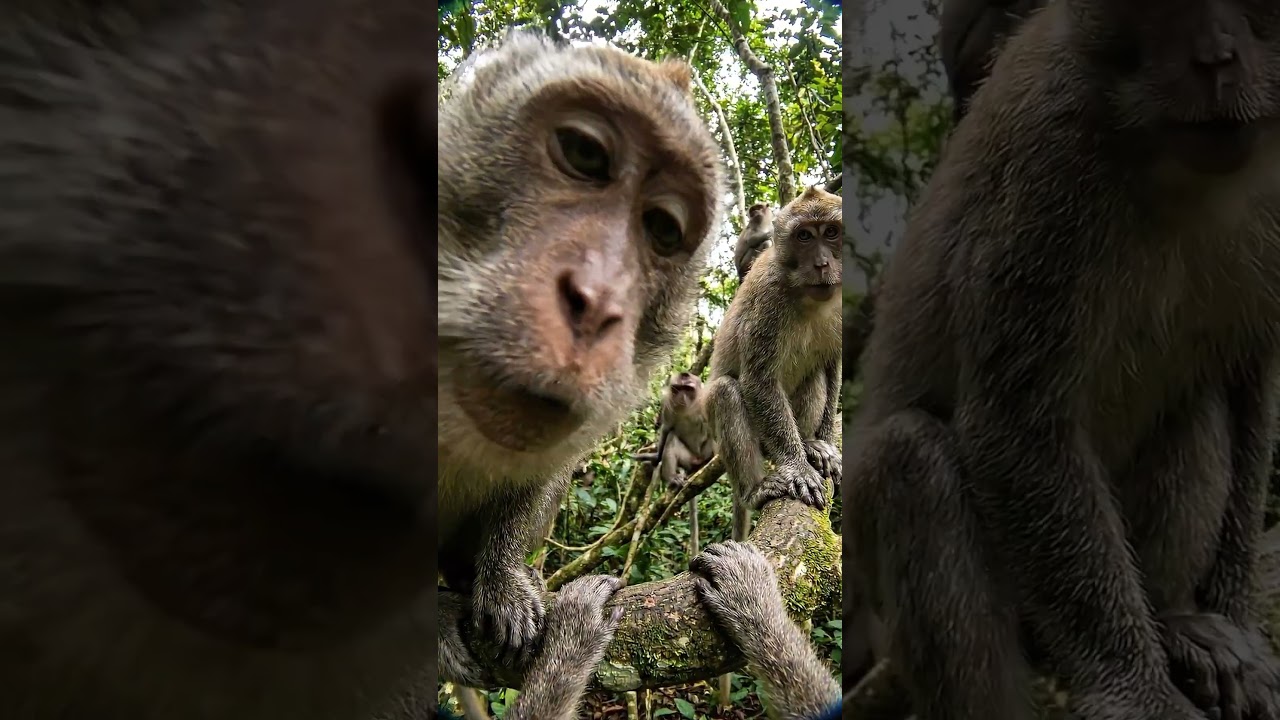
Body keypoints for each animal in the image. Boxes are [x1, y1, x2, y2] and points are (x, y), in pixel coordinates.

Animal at [704, 185, 842, 548]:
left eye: (832, 232)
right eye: (804, 236)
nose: (822, 264)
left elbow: (832, 365)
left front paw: (824, 443)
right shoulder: (768, 299)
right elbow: (758, 380)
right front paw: (797, 466)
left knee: (815, 375)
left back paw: (808, 442)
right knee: (726, 393)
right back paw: (755, 489)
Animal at [847, 1, 1280, 719]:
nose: (1218, 59)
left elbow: (1247, 380)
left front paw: (1234, 618)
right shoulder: (1049, 169)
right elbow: (1013, 423)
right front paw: (1137, 692)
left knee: (1198, 407)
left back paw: (1175, 620)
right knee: (910, 461)